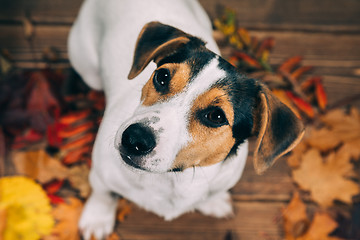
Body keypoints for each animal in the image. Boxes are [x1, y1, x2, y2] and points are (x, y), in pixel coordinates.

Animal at [67, 0, 304, 238]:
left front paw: (214, 202)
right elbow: (104, 194)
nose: (134, 138)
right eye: (162, 76)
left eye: (216, 116)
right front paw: (97, 219)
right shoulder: (101, 173)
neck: (173, 179)